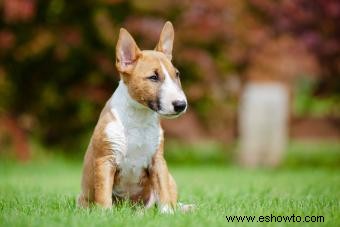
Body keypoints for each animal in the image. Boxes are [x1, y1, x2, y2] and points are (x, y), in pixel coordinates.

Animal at [77, 21, 191, 213]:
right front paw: (105, 214)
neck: (139, 117)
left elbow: (164, 192)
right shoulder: (105, 160)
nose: (181, 105)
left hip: (169, 179)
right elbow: (103, 193)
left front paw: (168, 213)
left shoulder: (157, 161)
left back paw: (184, 208)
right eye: (153, 77)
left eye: (177, 74)